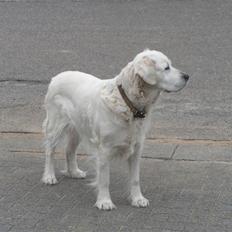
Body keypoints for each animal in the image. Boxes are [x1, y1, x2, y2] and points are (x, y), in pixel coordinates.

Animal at [41, 49, 189, 210]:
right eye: (166, 67)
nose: (187, 76)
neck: (128, 104)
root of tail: (56, 77)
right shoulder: (104, 150)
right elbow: (105, 179)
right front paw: (105, 201)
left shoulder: (137, 148)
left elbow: (135, 179)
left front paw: (138, 199)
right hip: (56, 124)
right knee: (50, 150)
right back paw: (49, 176)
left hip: (78, 127)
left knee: (69, 150)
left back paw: (74, 172)